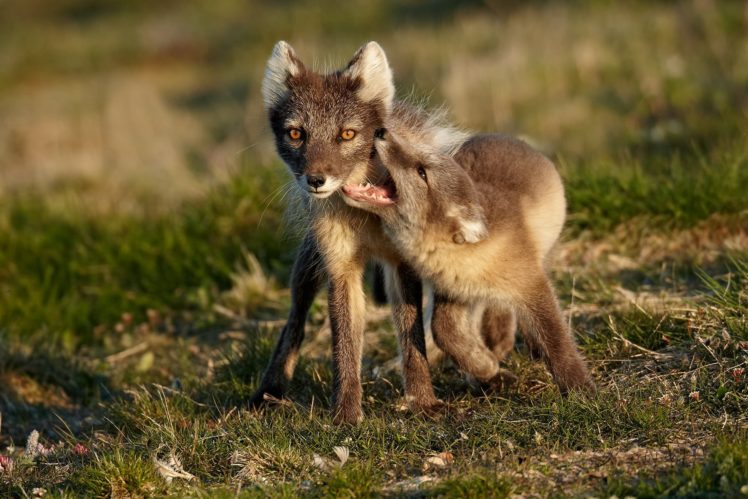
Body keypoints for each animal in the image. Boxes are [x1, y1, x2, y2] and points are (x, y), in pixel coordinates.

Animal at [249, 41, 520, 423]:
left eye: (347, 134)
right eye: (296, 134)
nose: (316, 180)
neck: (367, 217)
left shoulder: (402, 262)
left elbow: (413, 337)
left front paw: (423, 402)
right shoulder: (340, 267)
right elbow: (345, 344)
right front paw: (346, 413)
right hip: (309, 266)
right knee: (294, 322)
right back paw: (269, 390)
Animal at [342, 131, 595, 393]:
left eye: (422, 172)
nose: (381, 132)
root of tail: (504, 135)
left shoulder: (531, 283)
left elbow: (556, 340)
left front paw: (581, 389)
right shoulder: (453, 290)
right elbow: (443, 332)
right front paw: (486, 367)